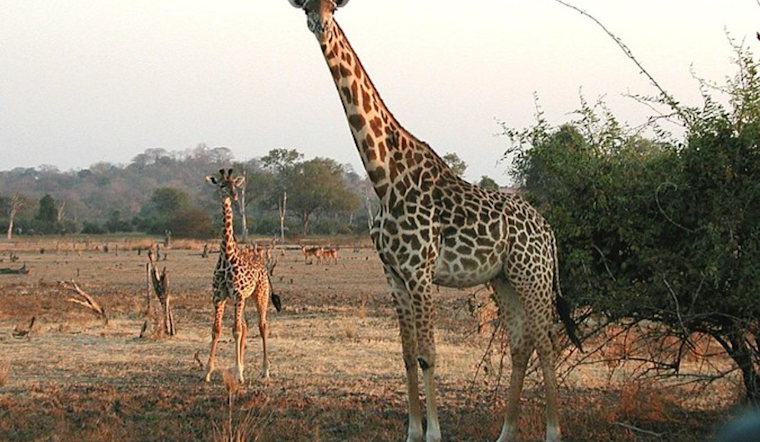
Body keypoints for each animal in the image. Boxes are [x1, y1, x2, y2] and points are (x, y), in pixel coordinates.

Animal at [204, 169, 282, 383]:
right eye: (222, 185)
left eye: (235, 185)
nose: (235, 196)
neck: (227, 255)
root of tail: (263, 267)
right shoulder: (219, 296)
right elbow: (217, 330)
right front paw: (208, 371)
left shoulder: (238, 295)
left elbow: (236, 330)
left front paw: (239, 374)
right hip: (244, 299)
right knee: (246, 326)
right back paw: (240, 367)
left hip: (260, 295)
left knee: (262, 325)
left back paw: (264, 370)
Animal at [287, 2, 582, 441]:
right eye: (306, 6)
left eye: (332, 7)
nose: (319, 26)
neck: (384, 178)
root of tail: (548, 232)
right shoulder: (393, 275)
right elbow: (408, 356)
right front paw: (411, 431)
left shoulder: (421, 273)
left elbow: (429, 355)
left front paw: (433, 434)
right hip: (503, 279)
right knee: (520, 344)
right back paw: (505, 432)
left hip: (534, 276)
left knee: (546, 342)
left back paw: (552, 432)